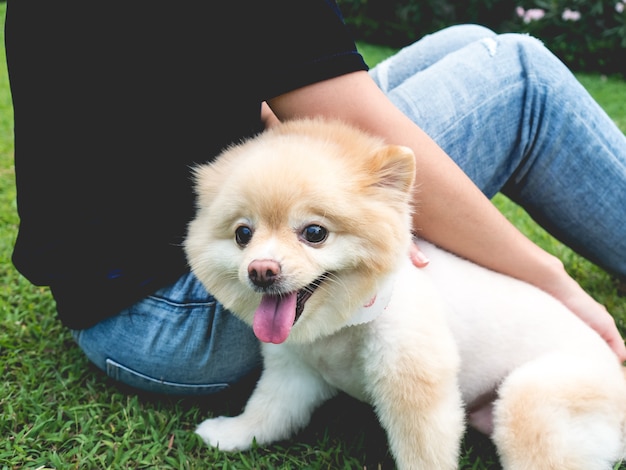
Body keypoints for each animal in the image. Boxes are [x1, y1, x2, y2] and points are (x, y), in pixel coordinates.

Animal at [185, 119, 624, 468]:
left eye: (314, 233)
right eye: (243, 234)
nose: (261, 271)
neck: (342, 326)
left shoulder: (414, 383)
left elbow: (423, 451)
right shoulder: (293, 370)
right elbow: (268, 412)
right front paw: (231, 435)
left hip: (531, 396)